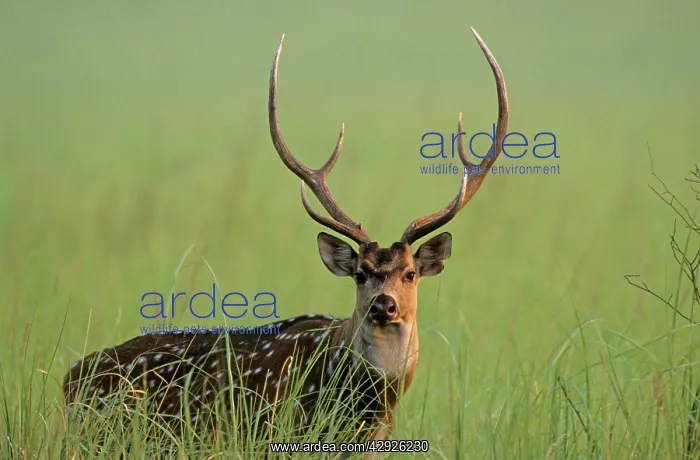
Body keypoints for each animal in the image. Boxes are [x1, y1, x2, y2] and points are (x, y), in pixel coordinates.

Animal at [62, 27, 509, 456]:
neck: (368, 404)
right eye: (361, 273)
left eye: (411, 273)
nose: (384, 305)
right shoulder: (281, 430)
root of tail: (67, 383)